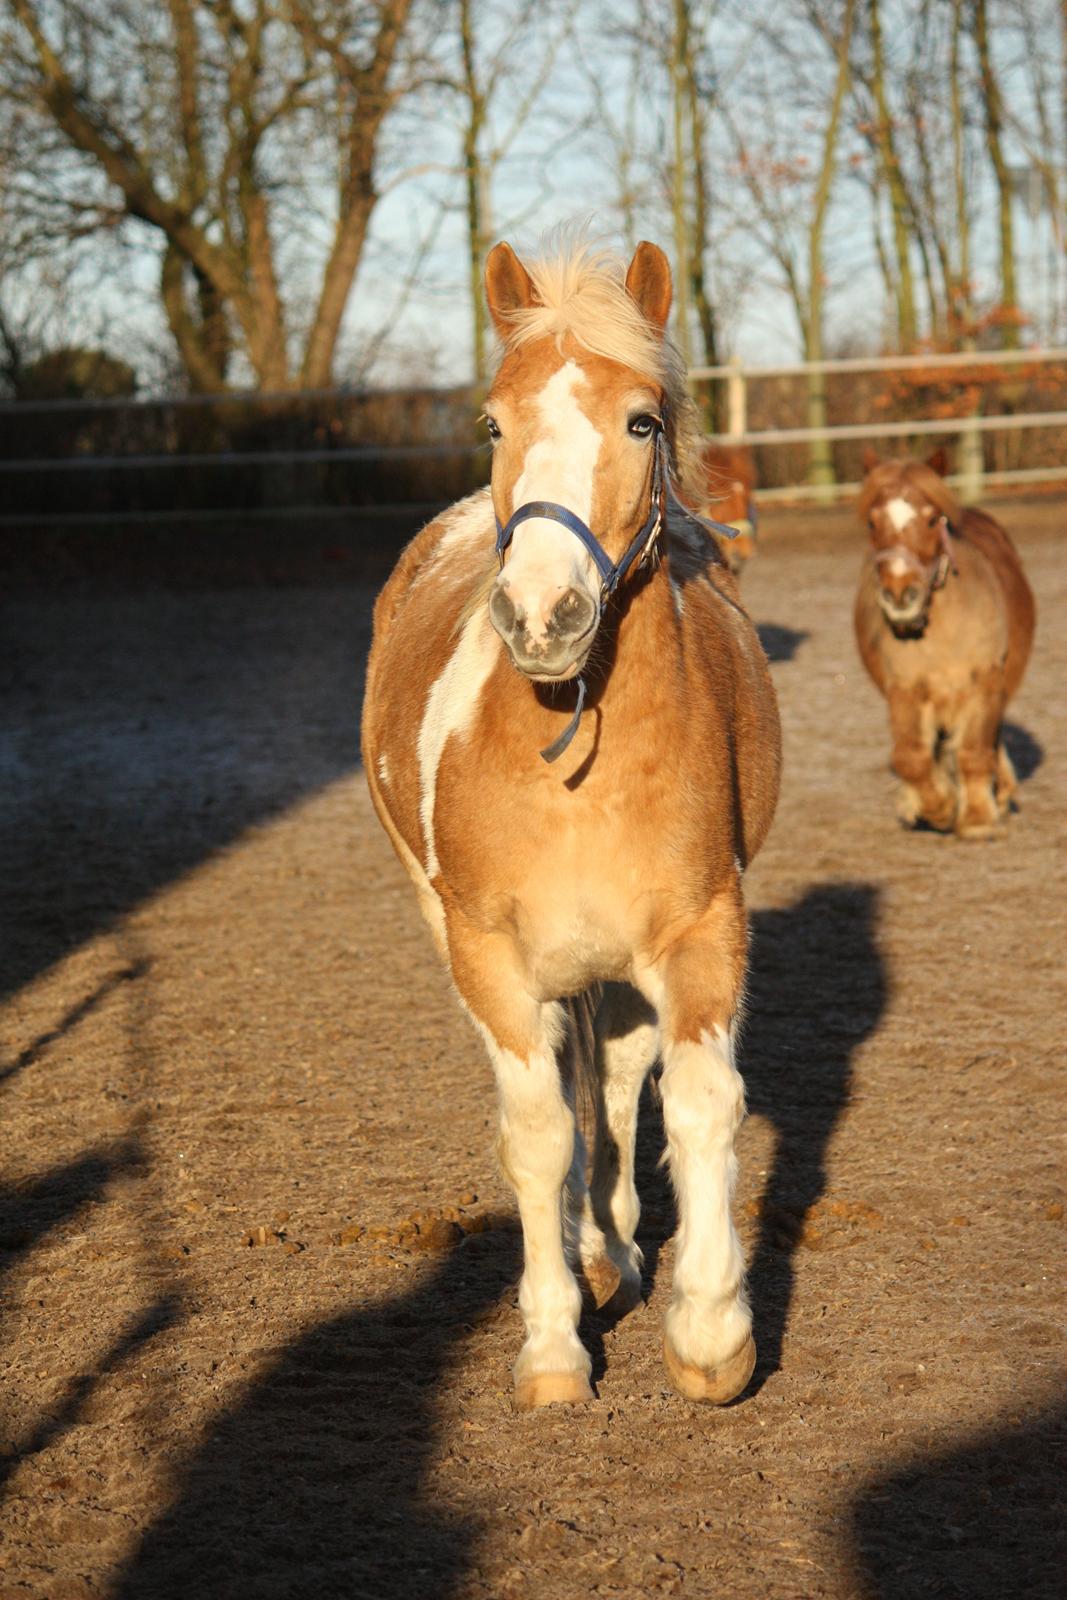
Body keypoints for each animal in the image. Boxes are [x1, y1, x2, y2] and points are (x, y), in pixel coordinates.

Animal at [363, 240, 780, 1414]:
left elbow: (695, 1103)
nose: (541, 615)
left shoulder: (700, 930)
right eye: (492, 423)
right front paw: (551, 1346)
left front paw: (709, 1329)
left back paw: (613, 1247)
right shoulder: (492, 958)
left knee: (622, 1077)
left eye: (641, 421)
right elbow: (539, 1132)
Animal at [851, 444, 1036, 844]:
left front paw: (978, 818)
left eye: (933, 519)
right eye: (872, 522)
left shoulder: (985, 683)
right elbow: (911, 757)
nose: (900, 596)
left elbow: (974, 750)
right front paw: (938, 807)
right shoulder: (905, 689)